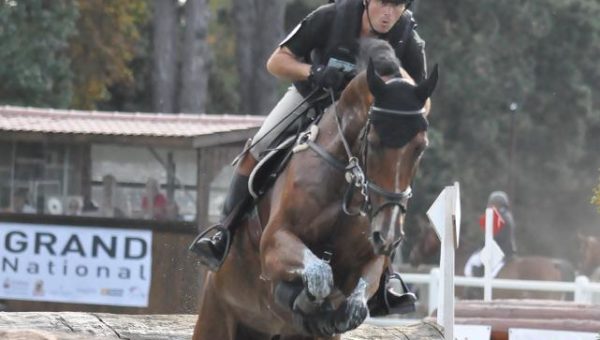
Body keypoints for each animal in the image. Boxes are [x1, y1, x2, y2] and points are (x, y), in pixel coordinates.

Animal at [195, 38, 438, 338]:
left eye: (421, 147)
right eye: (374, 141)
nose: (388, 235)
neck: (346, 180)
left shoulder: (370, 260)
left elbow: (357, 300)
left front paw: (334, 311)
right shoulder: (275, 240)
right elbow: (321, 273)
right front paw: (301, 297)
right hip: (214, 316)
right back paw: (214, 246)